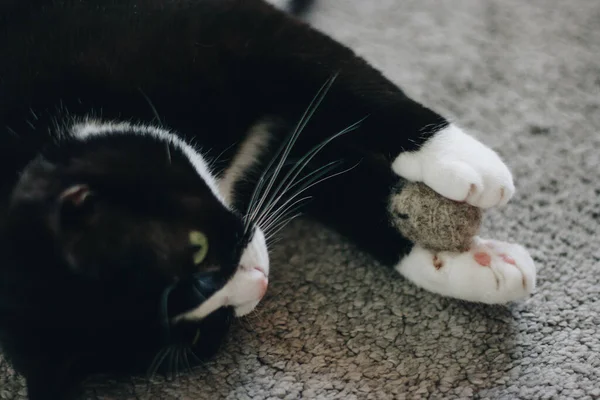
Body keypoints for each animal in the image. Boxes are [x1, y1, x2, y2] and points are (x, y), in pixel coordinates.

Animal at [0, 1, 536, 398]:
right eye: (200, 337)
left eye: (196, 251)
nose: (257, 286)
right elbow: (339, 183)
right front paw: (467, 263)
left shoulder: (226, 29)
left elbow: (348, 82)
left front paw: (459, 160)